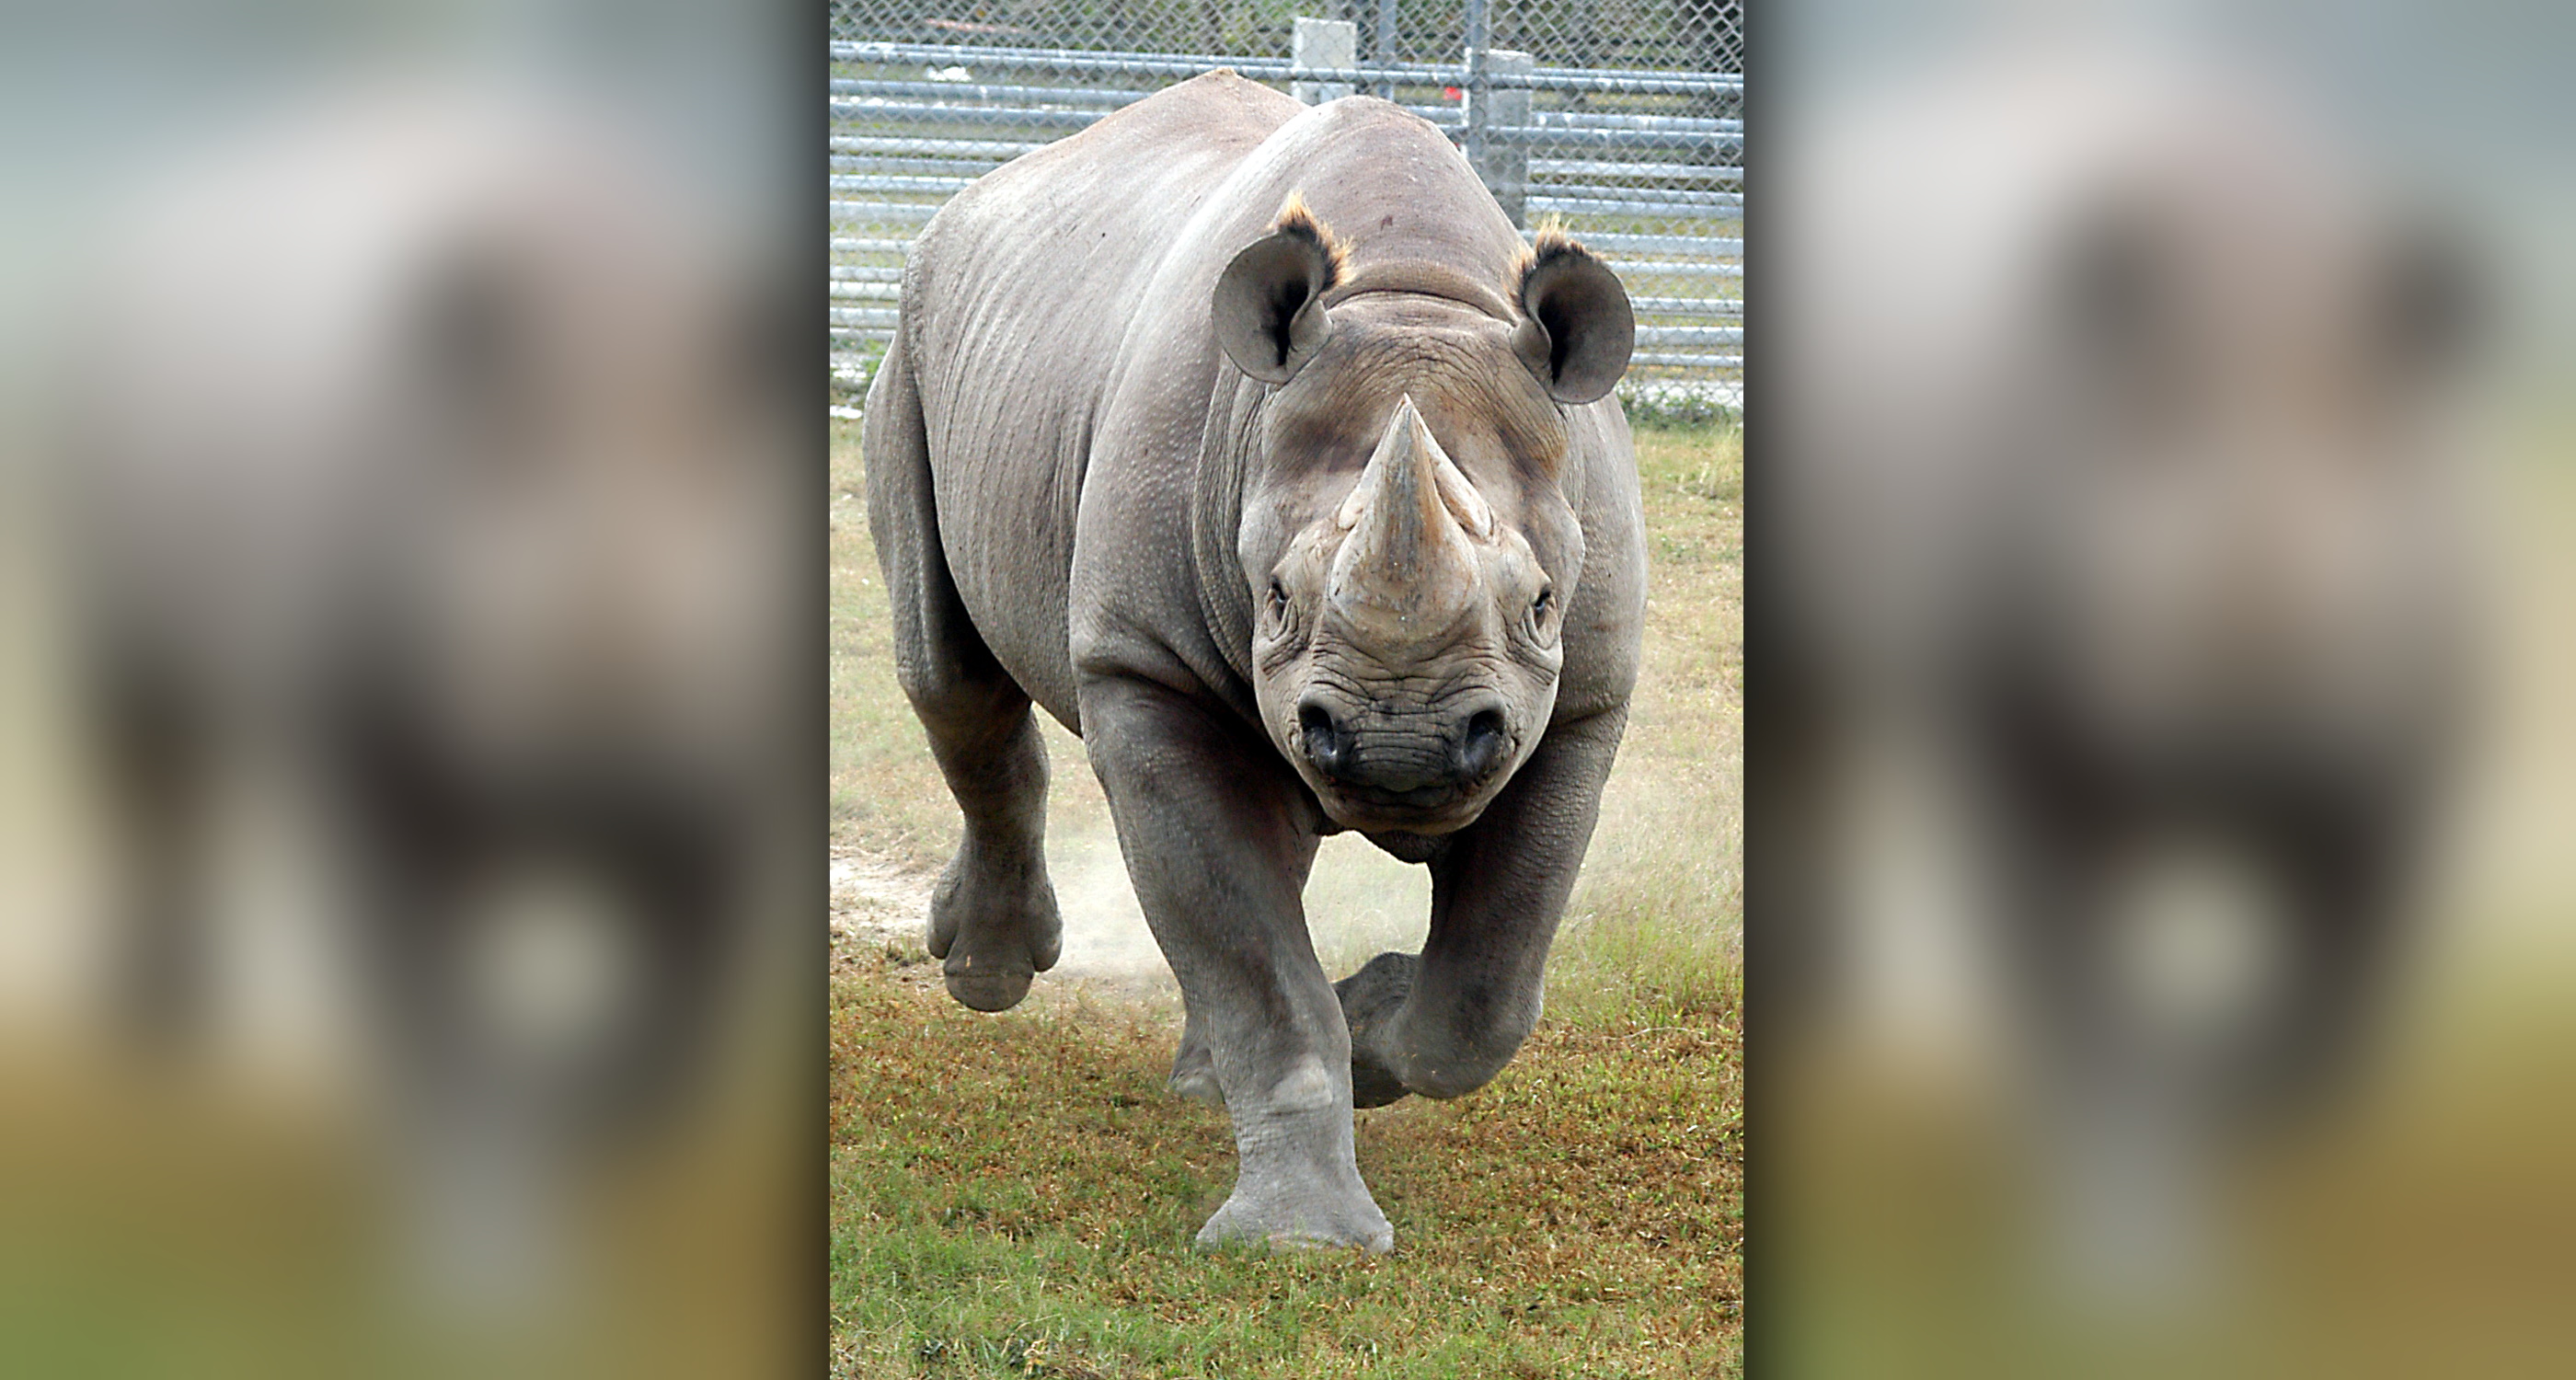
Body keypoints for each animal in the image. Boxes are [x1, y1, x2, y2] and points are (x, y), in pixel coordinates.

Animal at [865, 71, 1644, 1251]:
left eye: (1543, 606)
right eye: (1276, 598)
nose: (1401, 746)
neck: (1415, 295)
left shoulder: (1584, 701)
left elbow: (1487, 992)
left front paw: (1372, 1026)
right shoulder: (1145, 666)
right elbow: (1254, 965)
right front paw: (1298, 1240)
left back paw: (1199, 1080)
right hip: (913, 341)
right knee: (948, 680)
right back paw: (987, 976)